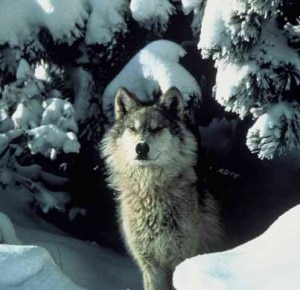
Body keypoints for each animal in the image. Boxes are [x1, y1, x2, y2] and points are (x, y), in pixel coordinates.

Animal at [101, 86, 223, 290]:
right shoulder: (150, 265)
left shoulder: (181, 260)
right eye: (133, 129)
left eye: (157, 128)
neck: (150, 193)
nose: (141, 147)